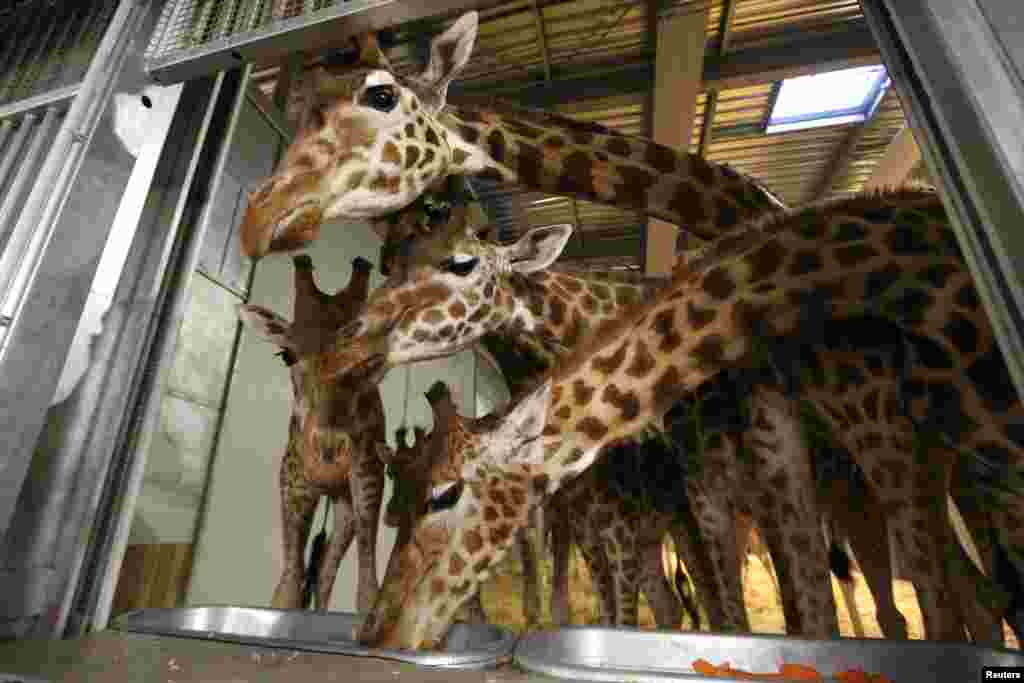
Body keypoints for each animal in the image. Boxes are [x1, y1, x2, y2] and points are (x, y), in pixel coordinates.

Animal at [235, 252, 387, 614]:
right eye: (286, 355)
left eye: (363, 361)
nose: (328, 453)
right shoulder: (293, 478)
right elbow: (288, 584)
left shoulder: (369, 473)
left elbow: (367, 585)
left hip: (345, 502)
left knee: (328, 568)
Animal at [344, 188, 1024, 651]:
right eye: (391, 260)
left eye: (461, 264)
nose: (355, 341)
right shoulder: (692, 500)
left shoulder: (769, 475)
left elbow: (786, 609)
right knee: (968, 590)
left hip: (883, 456)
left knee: (930, 595)